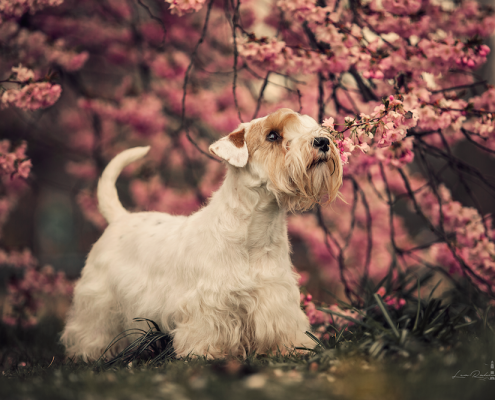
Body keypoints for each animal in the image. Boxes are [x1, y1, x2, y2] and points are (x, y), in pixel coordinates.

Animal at [61, 108, 340, 360]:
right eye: (272, 135)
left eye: (309, 126)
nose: (323, 141)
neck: (255, 230)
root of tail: (120, 217)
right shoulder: (208, 302)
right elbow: (207, 331)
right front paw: (205, 354)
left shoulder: (276, 297)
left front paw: (293, 349)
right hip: (99, 299)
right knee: (92, 328)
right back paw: (89, 354)